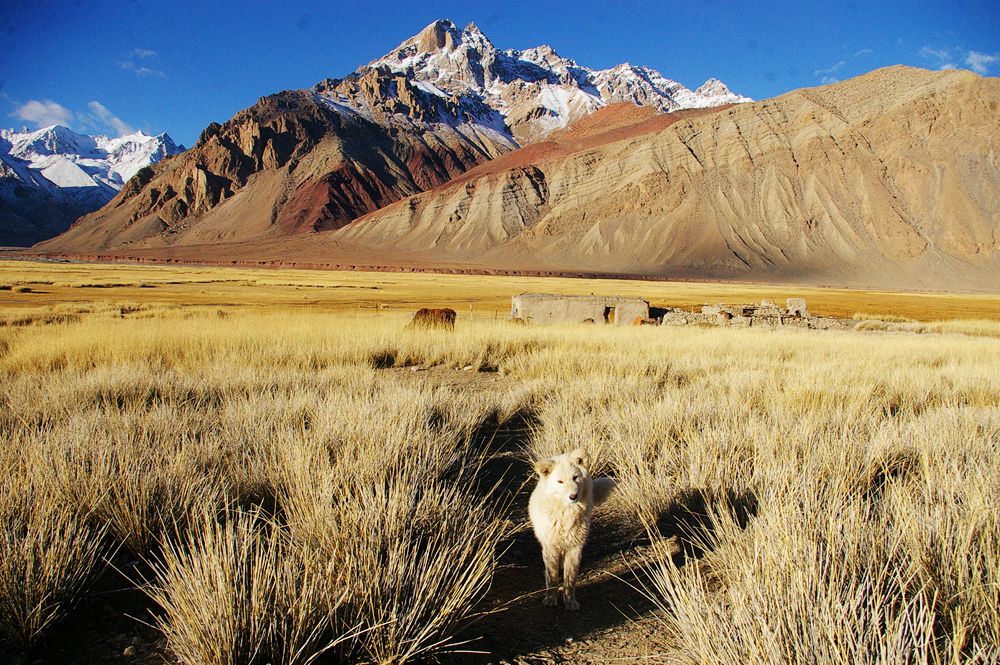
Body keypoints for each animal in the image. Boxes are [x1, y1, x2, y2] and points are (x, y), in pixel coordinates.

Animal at [528, 448, 612, 608]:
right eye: (560, 481)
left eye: (575, 478)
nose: (573, 496)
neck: (566, 513)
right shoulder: (551, 547)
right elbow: (552, 577)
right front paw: (550, 599)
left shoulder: (575, 547)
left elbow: (571, 578)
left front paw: (570, 602)